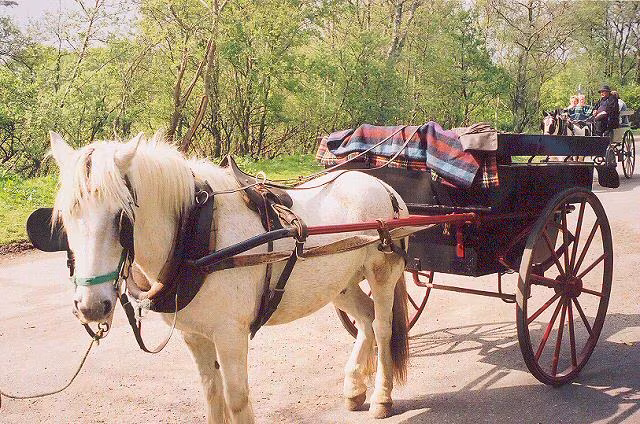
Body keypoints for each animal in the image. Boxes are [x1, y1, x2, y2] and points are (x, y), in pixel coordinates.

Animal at [48, 131, 410, 423]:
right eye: (65, 215)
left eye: (121, 216)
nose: (91, 307)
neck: (198, 232)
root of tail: (385, 188)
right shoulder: (195, 336)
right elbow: (212, 395)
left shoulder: (230, 335)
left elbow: (236, 400)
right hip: (340, 283)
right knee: (365, 318)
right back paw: (354, 387)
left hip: (382, 273)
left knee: (382, 327)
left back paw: (382, 397)